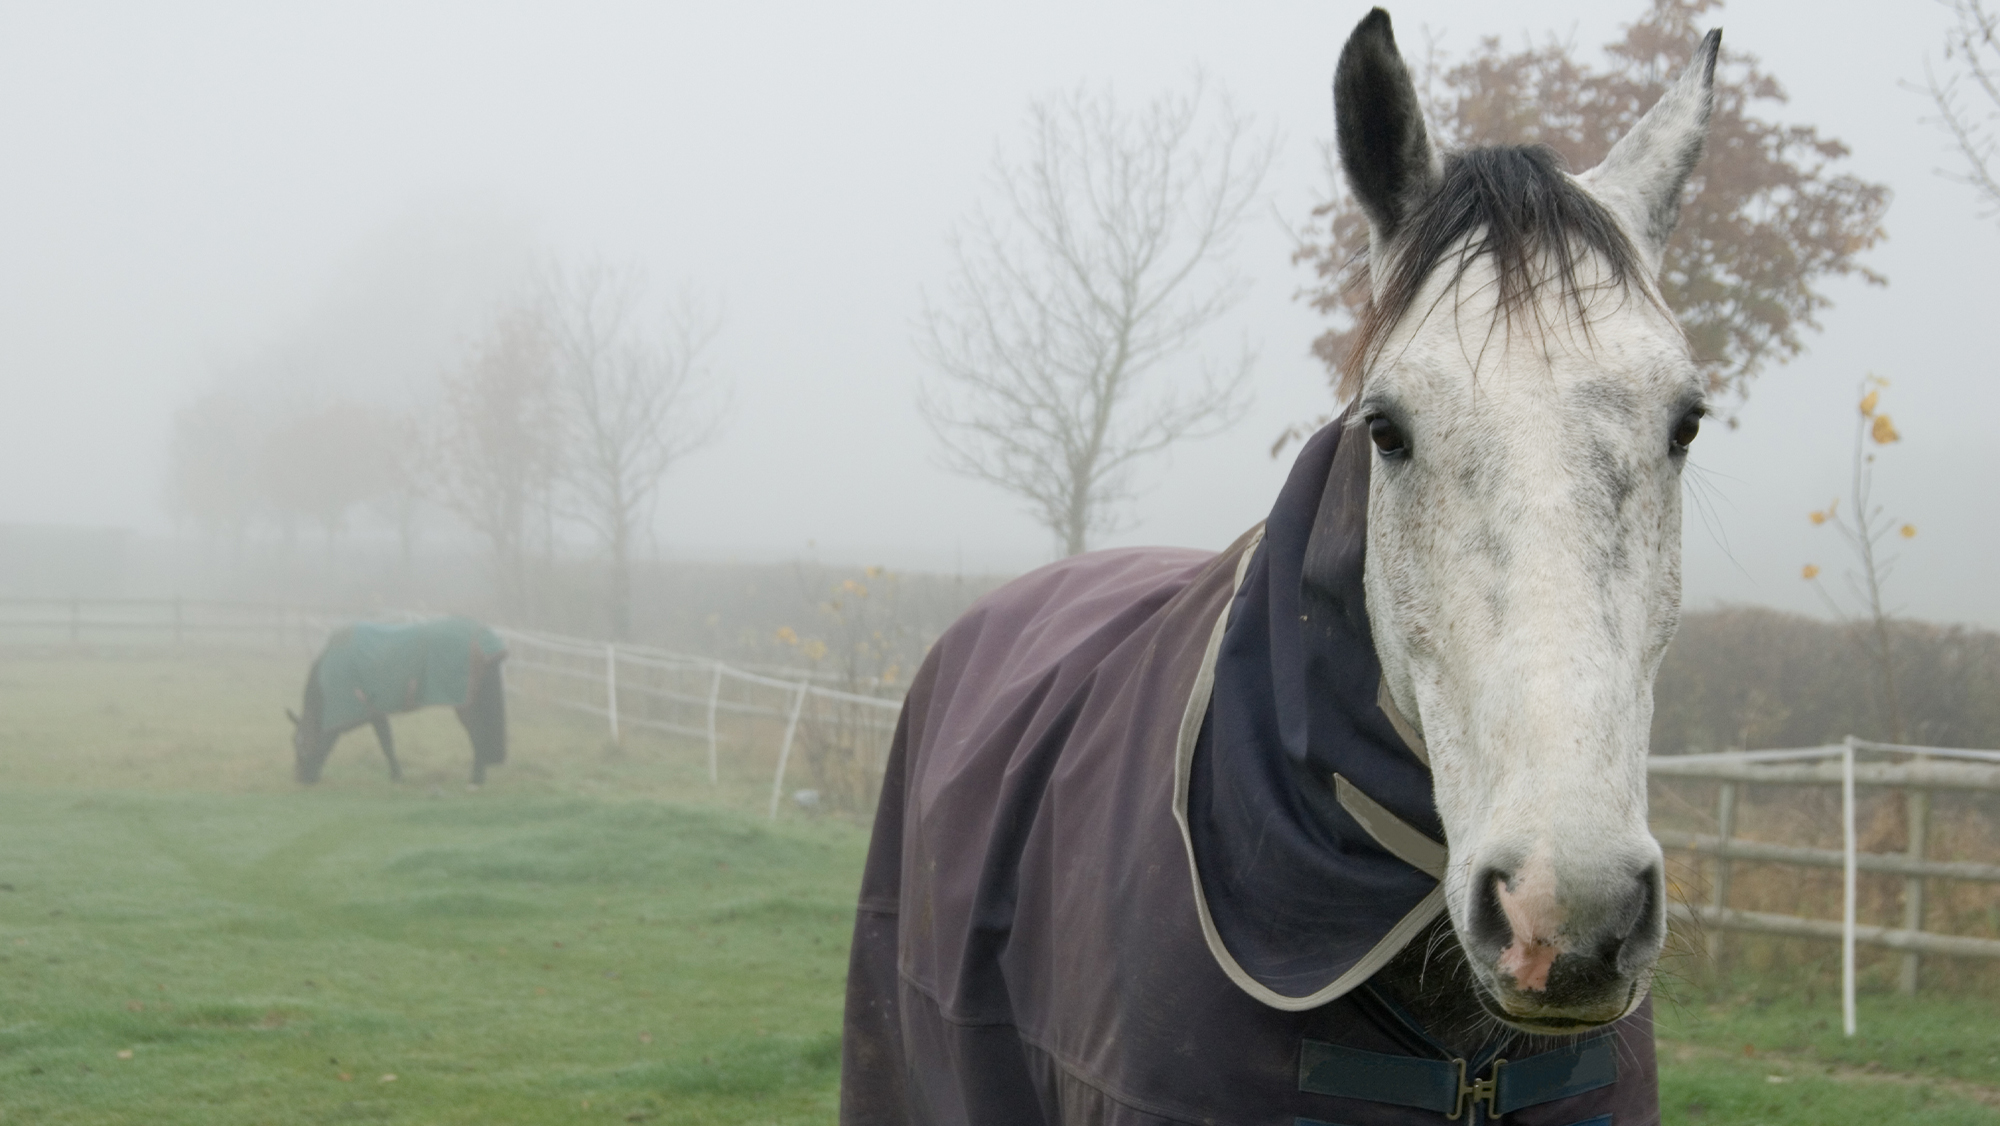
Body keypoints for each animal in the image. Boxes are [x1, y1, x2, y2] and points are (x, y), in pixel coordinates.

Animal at [288, 616, 509, 787]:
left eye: (302, 745)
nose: (300, 778)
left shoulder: (371, 712)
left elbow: (386, 744)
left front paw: (396, 776)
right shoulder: (375, 712)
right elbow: (387, 742)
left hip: (464, 704)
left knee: (477, 734)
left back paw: (476, 779)